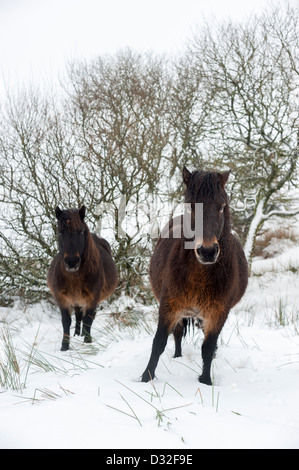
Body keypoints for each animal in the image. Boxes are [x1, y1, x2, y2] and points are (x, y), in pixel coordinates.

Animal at [47, 204, 118, 350]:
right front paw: (64, 346)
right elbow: (66, 321)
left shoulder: (92, 298)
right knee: (78, 316)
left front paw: (87, 342)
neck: (74, 277)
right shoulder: (62, 299)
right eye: (60, 232)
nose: (72, 262)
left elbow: (88, 319)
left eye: (80, 232)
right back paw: (76, 334)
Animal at [142, 169, 250, 386]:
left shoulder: (218, 313)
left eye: (222, 206)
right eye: (190, 206)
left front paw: (206, 381)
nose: (207, 251)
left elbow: (207, 348)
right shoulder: (168, 306)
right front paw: (145, 378)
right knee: (177, 333)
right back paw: (177, 357)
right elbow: (158, 342)